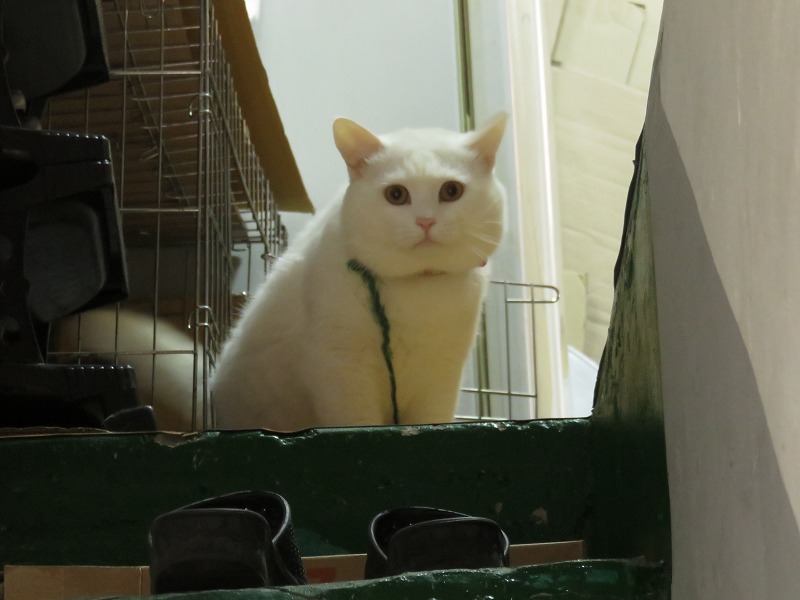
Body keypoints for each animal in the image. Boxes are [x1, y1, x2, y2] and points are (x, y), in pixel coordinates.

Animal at [211, 114, 508, 431]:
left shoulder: (442, 374)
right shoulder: (342, 369)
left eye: (451, 191)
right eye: (396, 195)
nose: (425, 221)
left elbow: (432, 419)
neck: (416, 290)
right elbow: (357, 421)